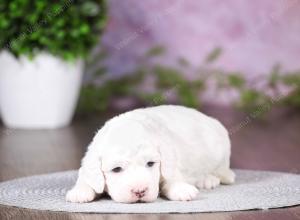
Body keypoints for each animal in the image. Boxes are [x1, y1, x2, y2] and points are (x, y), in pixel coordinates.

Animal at [67, 105, 236, 203]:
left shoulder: (169, 158)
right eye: (116, 169)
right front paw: (79, 191)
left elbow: (171, 175)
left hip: (221, 147)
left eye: (150, 164)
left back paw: (208, 180)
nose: (139, 191)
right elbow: (85, 176)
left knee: (222, 171)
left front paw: (181, 189)